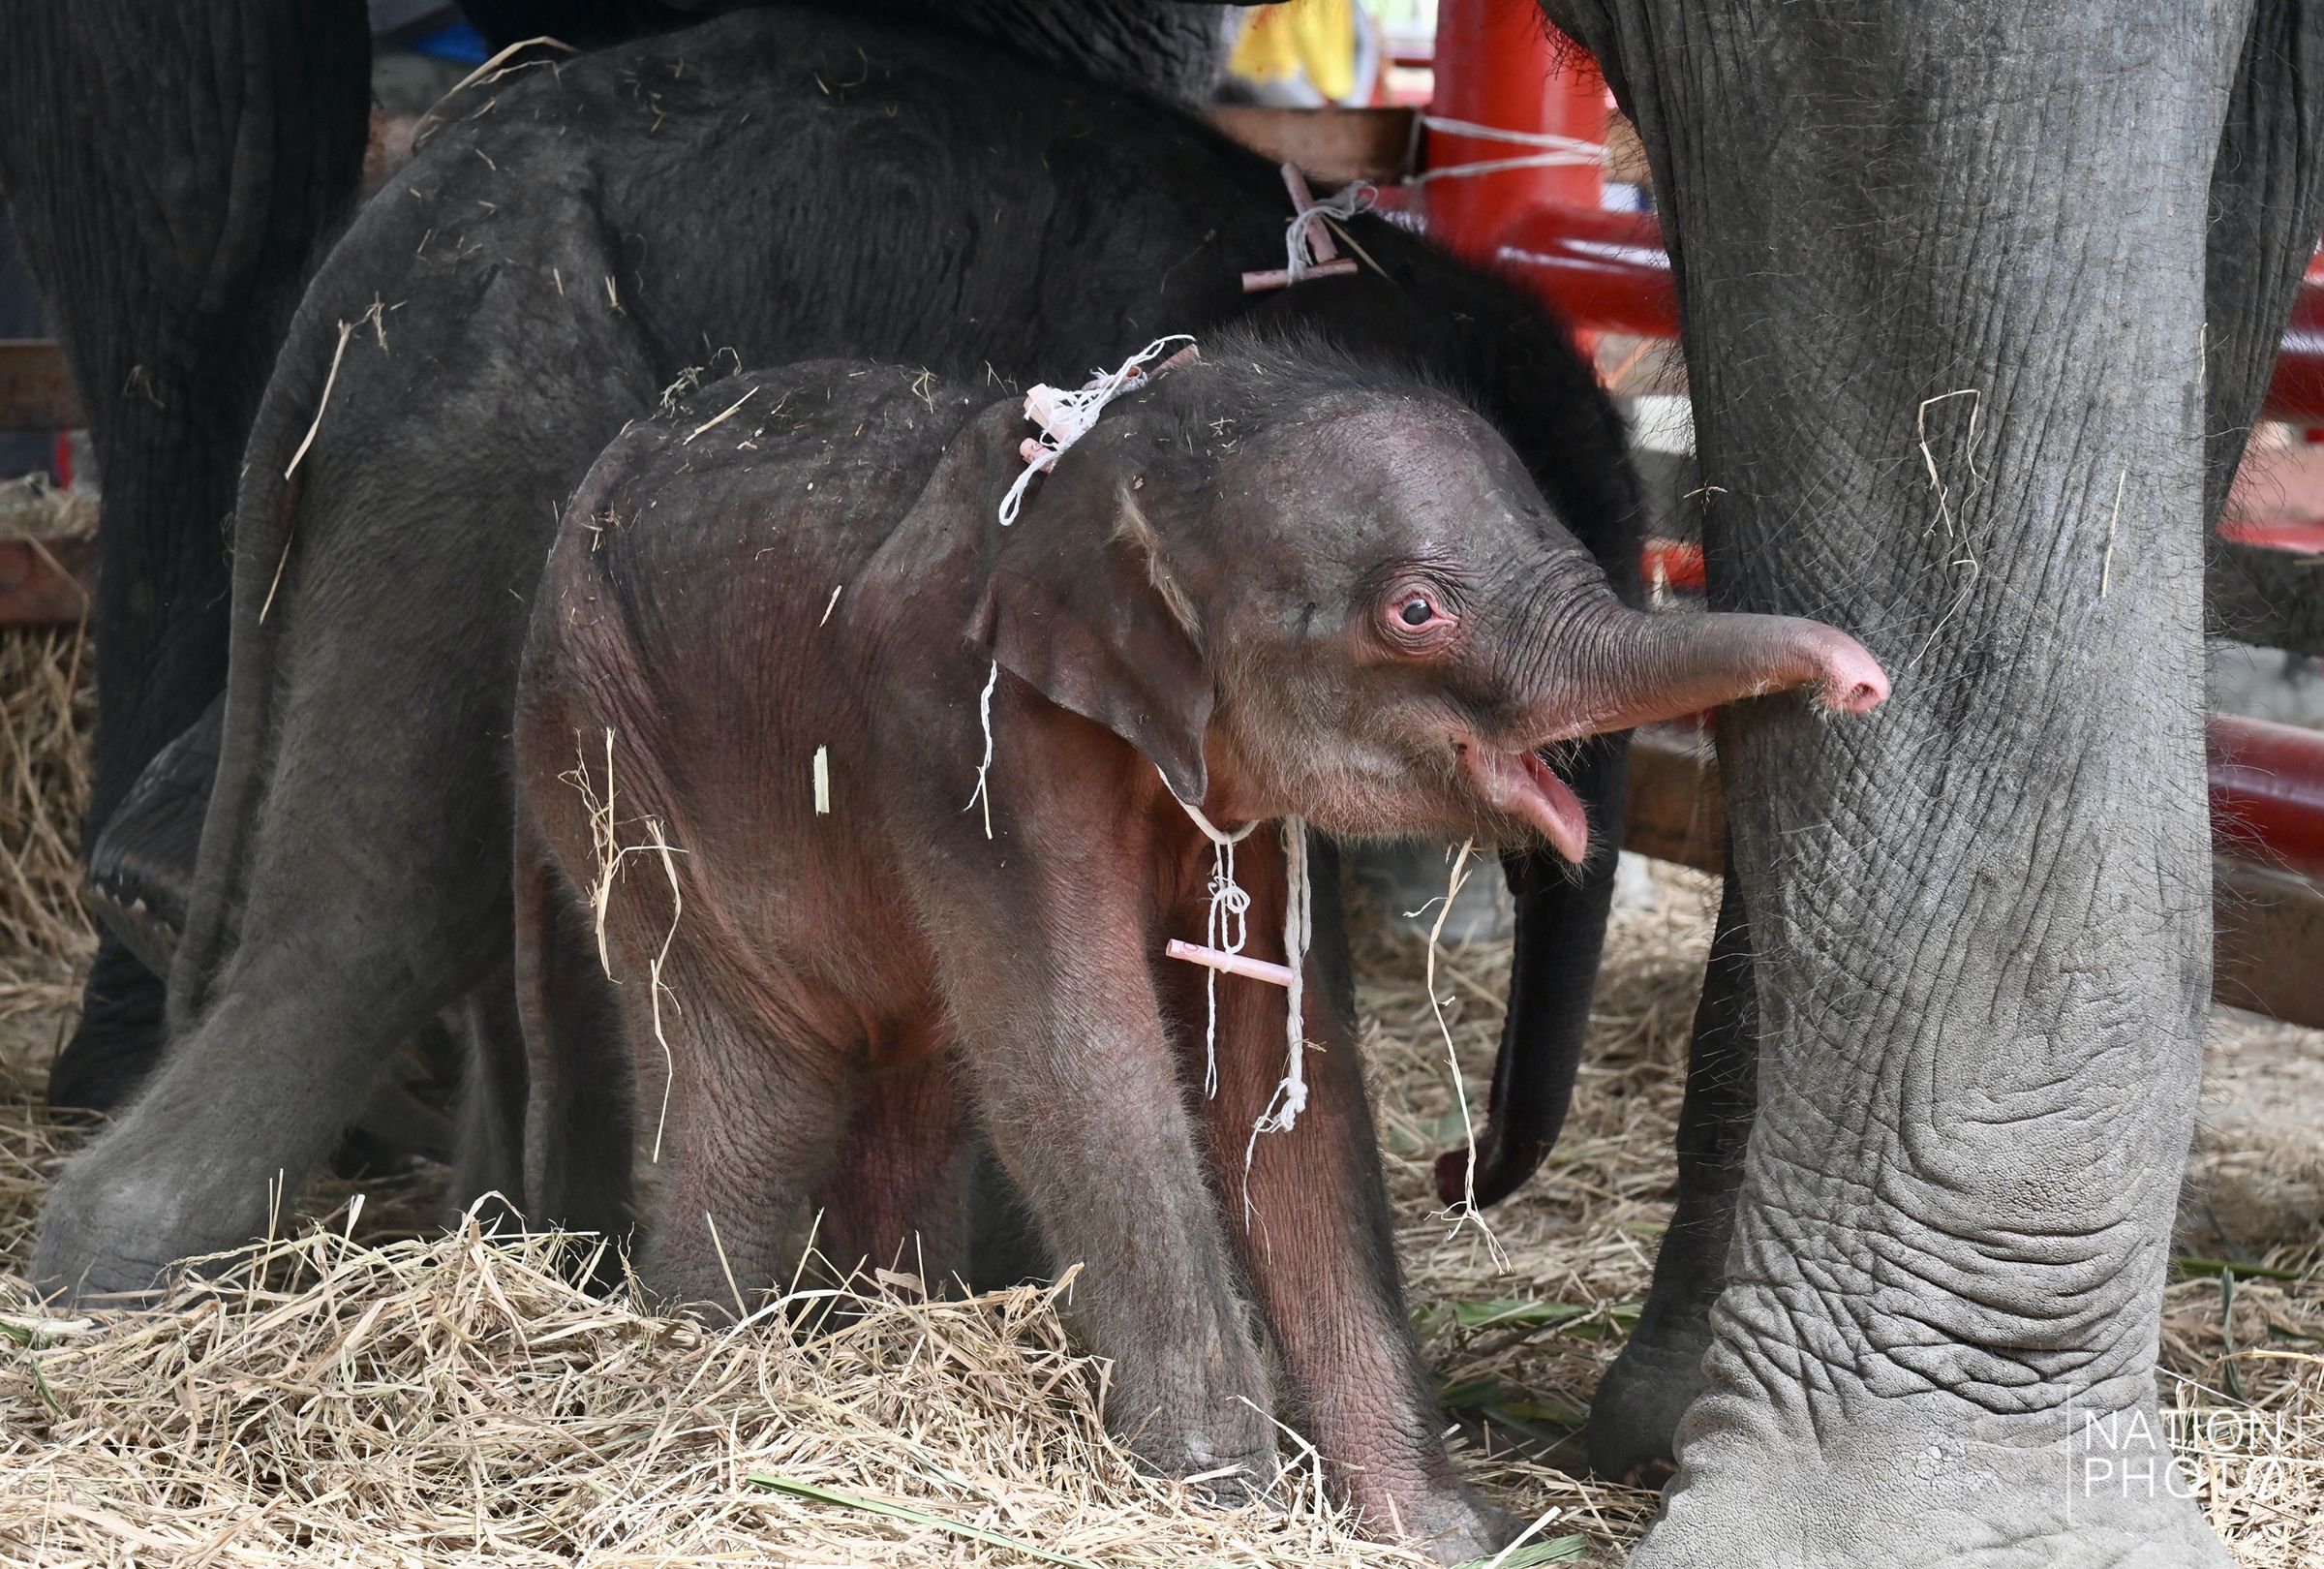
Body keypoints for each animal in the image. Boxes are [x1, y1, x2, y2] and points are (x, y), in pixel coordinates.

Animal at [30, 4, 1638, 1301]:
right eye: (1425, 609)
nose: (1465, 1171)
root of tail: (370, 251)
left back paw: (518, 1243)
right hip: (485, 441)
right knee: (381, 912)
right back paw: (114, 1278)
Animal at [511, 345, 1885, 1557]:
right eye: (1417, 611)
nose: (1861, 685)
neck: (1106, 473)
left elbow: (1287, 1090)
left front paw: (1443, 1536)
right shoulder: (962, 729)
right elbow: (1084, 1063)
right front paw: (1226, 1506)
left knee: (911, 1089)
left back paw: (882, 1338)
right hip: (614, 753)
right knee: (763, 1089)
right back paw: (709, 1366)